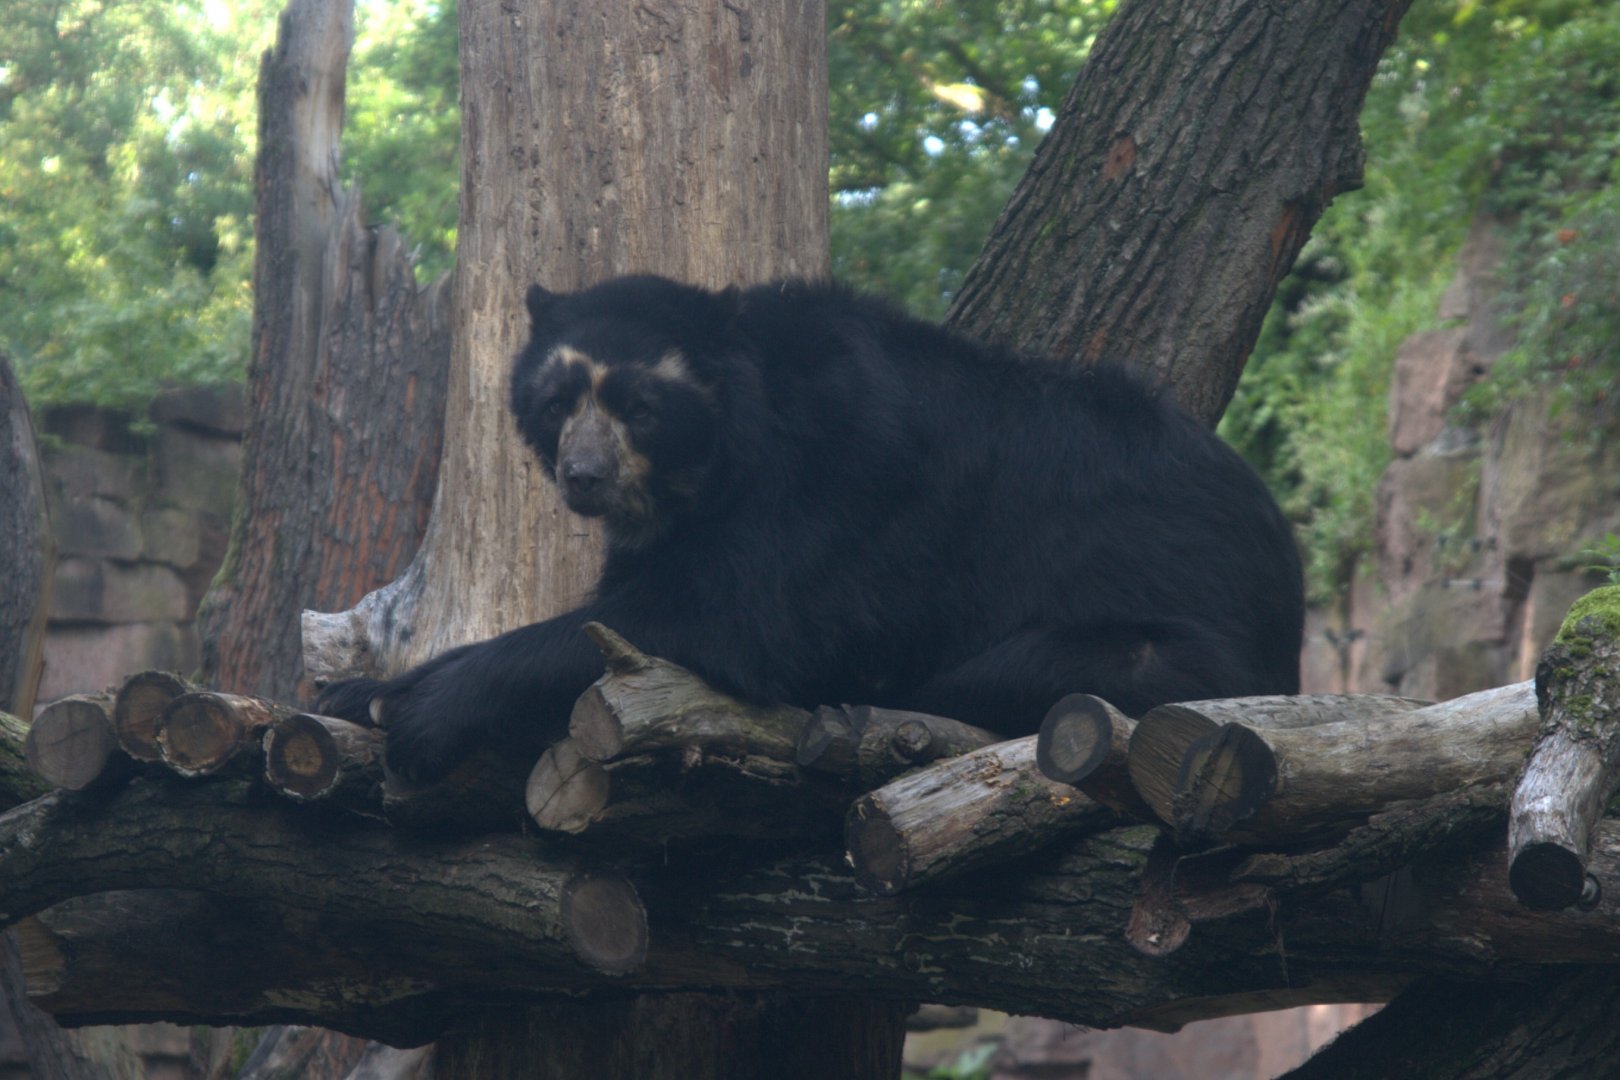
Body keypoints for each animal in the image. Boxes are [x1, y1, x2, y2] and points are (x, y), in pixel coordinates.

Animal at [317, 275, 1304, 783]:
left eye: (640, 407)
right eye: (558, 401)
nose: (583, 479)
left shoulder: (840, 483)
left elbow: (734, 625)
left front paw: (416, 706)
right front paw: (354, 693)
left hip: (1169, 654)